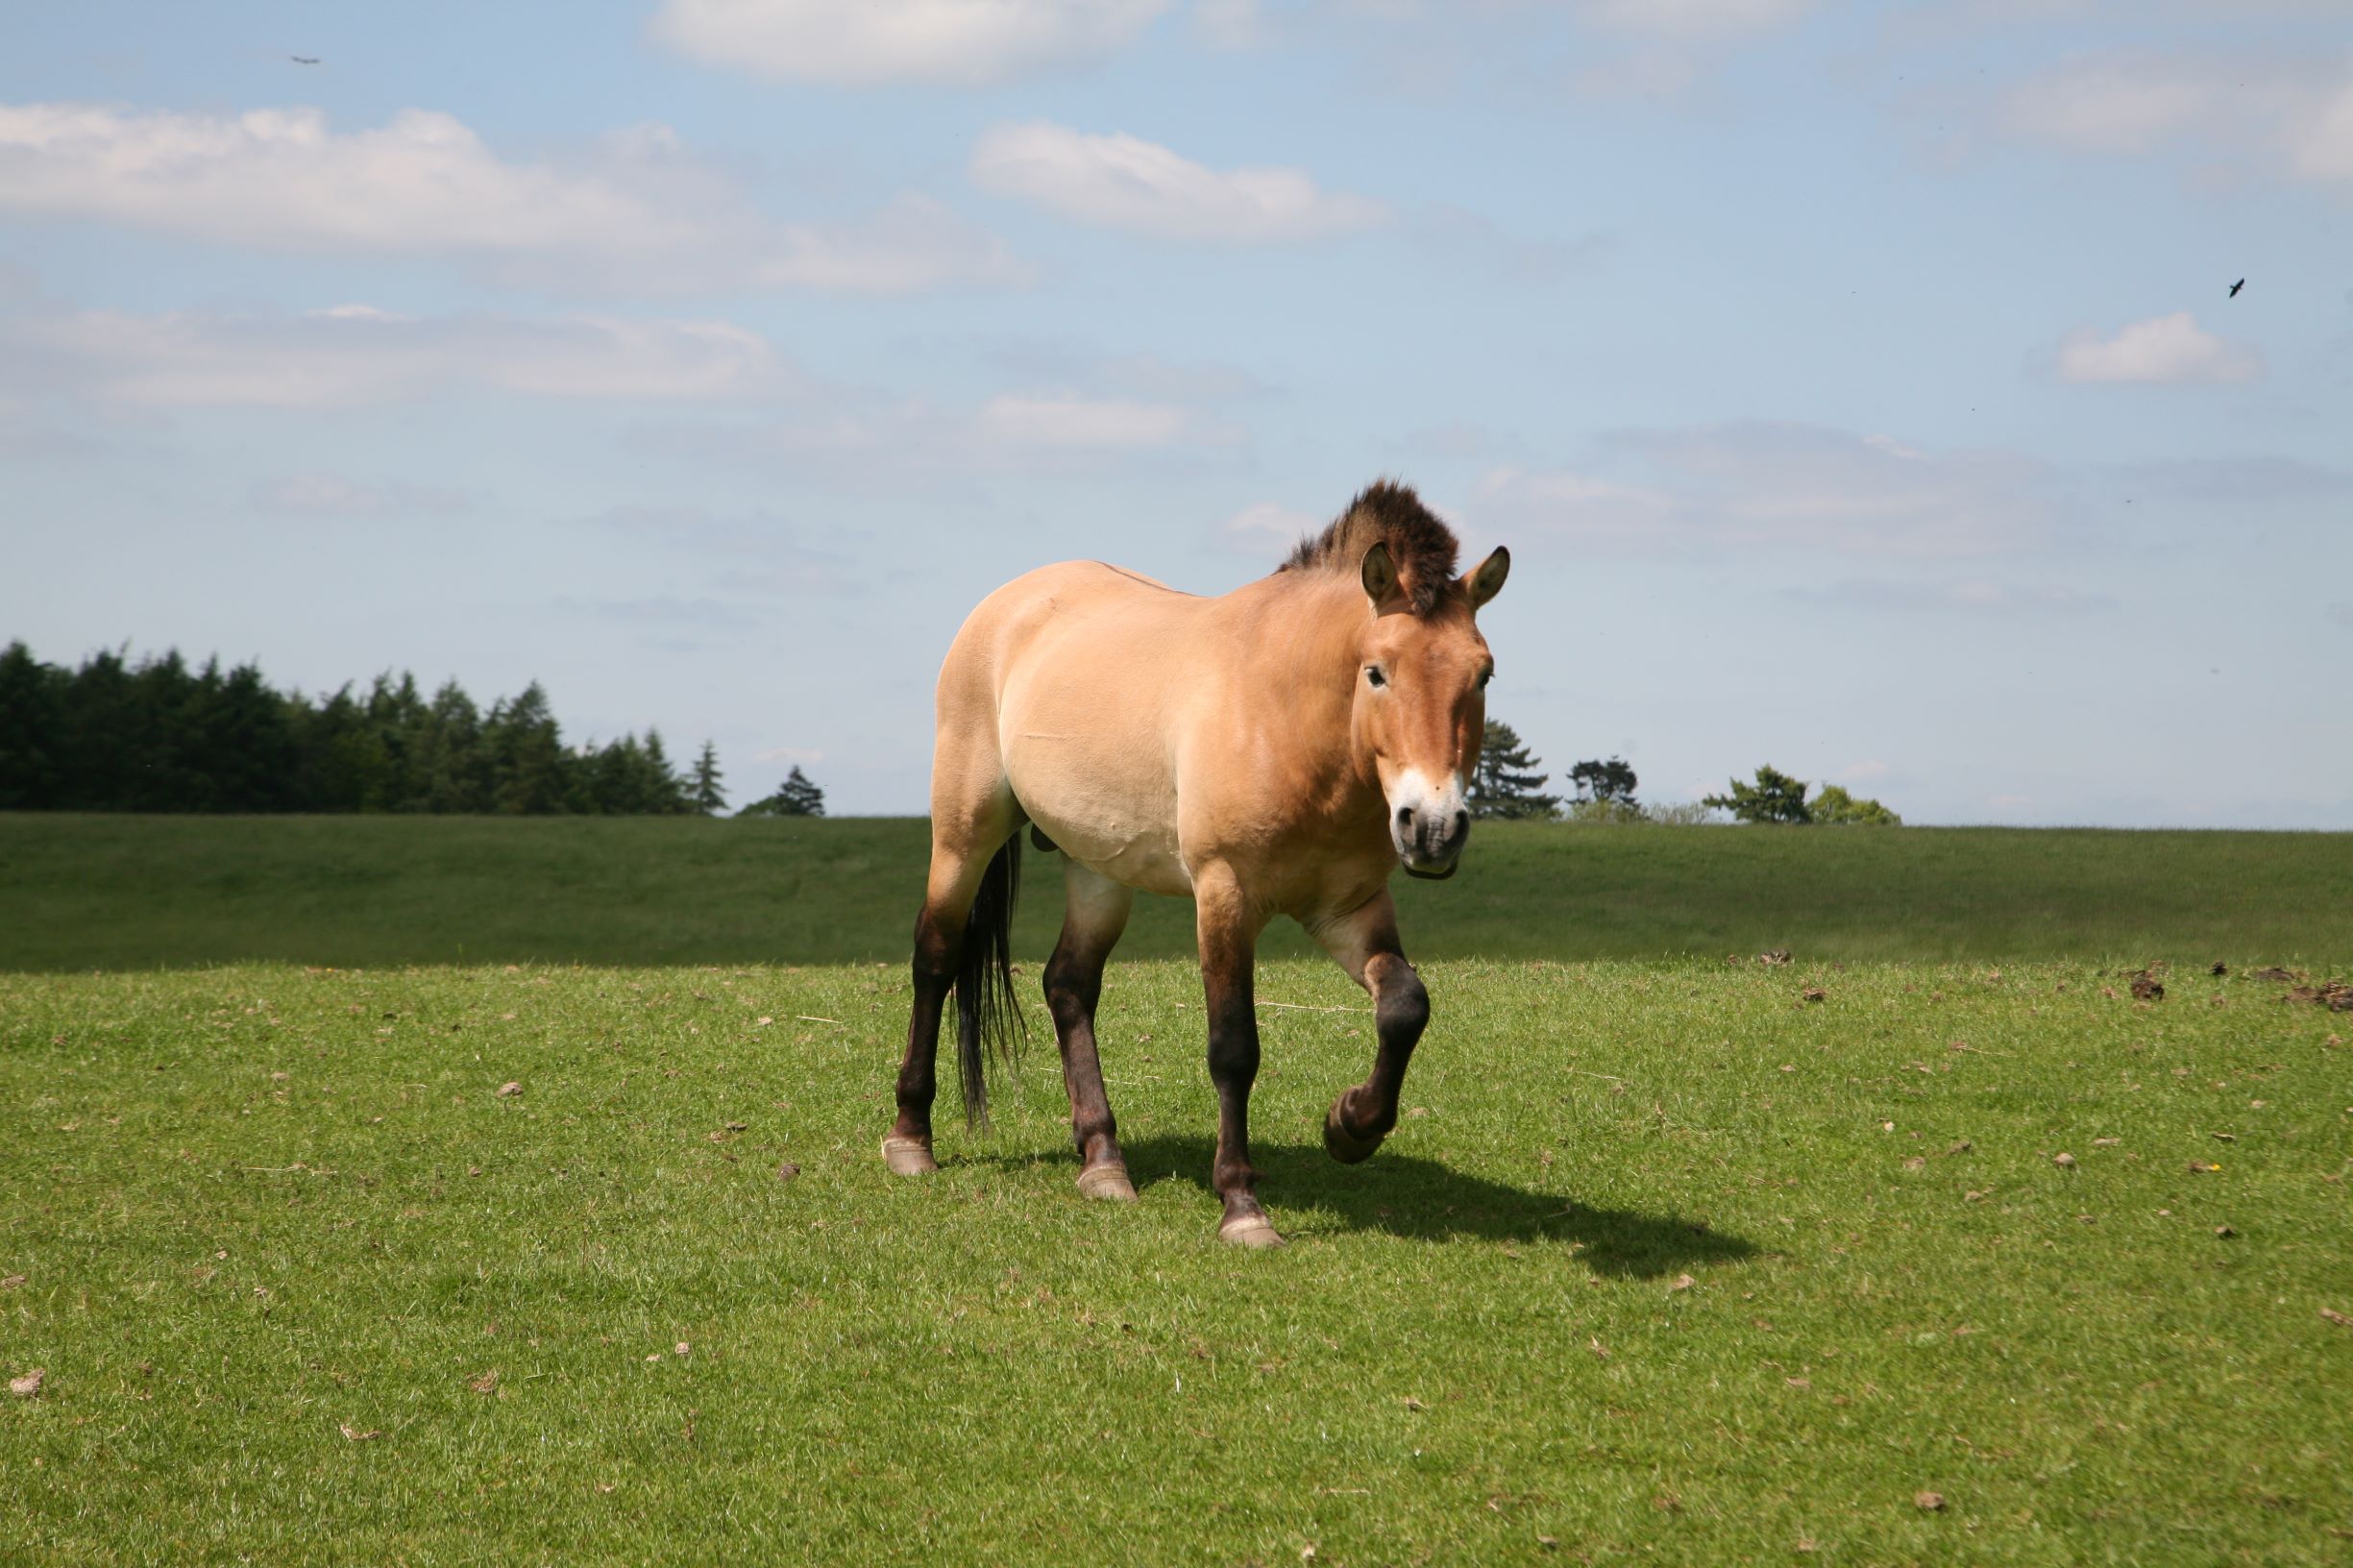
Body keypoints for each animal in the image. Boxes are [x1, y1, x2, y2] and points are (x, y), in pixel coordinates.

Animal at [884, 482, 1506, 1242]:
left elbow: (1405, 1006)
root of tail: (1010, 601)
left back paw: (1103, 1162)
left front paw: (1350, 1126)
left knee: (1069, 985)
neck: (1287, 718)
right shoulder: (1225, 896)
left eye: (1483, 674)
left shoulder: (1347, 908)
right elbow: (1233, 1047)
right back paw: (911, 1138)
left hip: (1098, 867)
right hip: (964, 834)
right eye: (1377, 672)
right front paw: (1241, 1203)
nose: (1434, 829)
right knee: (936, 958)